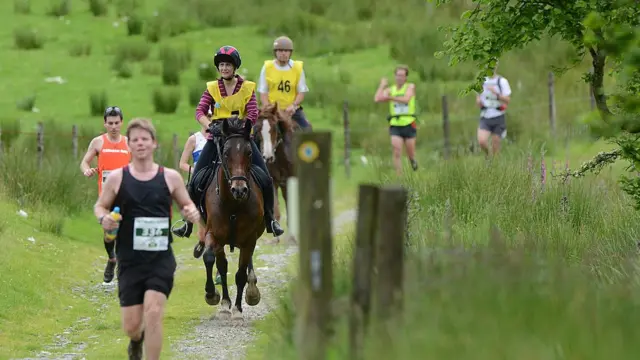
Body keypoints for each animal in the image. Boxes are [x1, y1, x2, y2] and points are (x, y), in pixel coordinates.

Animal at [202, 116, 262, 320]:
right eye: (226, 153)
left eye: (249, 152)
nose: (239, 189)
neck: (233, 205)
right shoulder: (213, 234)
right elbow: (212, 260)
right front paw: (214, 296)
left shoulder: (249, 240)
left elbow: (240, 274)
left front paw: (237, 309)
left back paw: (251, 291)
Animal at [254, 104, 296, 243]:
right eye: (257, 129)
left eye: (274, 128)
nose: (267, 157)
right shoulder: (273, 182)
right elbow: (276, 210)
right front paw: (276, 237)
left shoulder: (290, 180)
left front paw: (292, 238)